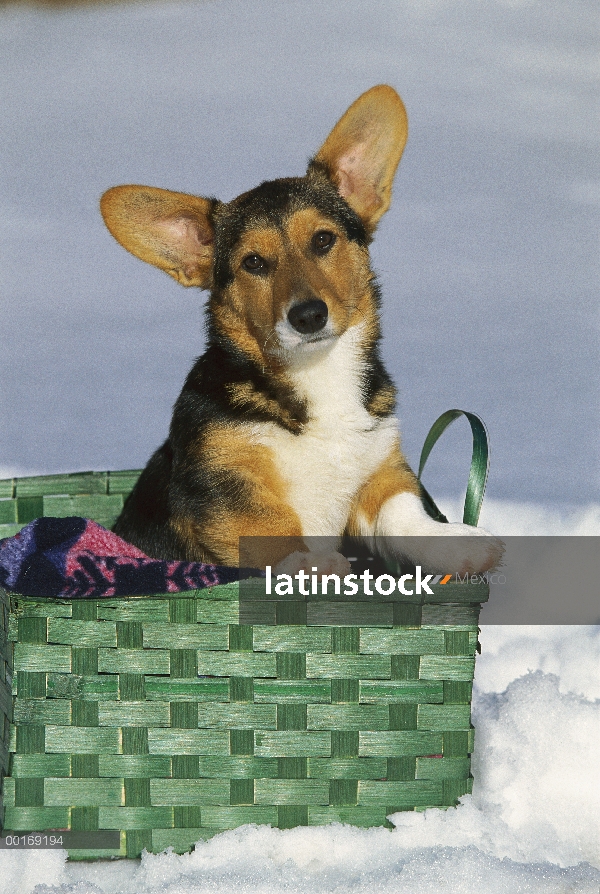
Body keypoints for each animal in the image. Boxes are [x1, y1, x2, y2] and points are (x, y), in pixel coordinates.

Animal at [102, 84, 502, 576]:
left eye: (323, 240)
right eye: (254, 263)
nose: (308, 315)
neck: (317, 372)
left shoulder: (378, 465)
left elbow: (403, 511)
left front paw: (458, 543)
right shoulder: (222, 481)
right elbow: (270, 525)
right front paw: (316, 564)